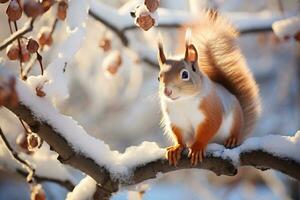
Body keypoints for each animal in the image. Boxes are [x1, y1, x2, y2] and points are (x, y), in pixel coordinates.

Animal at [159, 11, 260, 166]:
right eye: (159, 77)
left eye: (185, 74)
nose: (167, 91)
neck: (183, 101)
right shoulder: (177, 120)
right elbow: (179, 136)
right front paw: (176, 148)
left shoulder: (210, 112)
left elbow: (209, 127)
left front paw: (197, 148)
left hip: (235, 121)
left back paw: (232, 140)